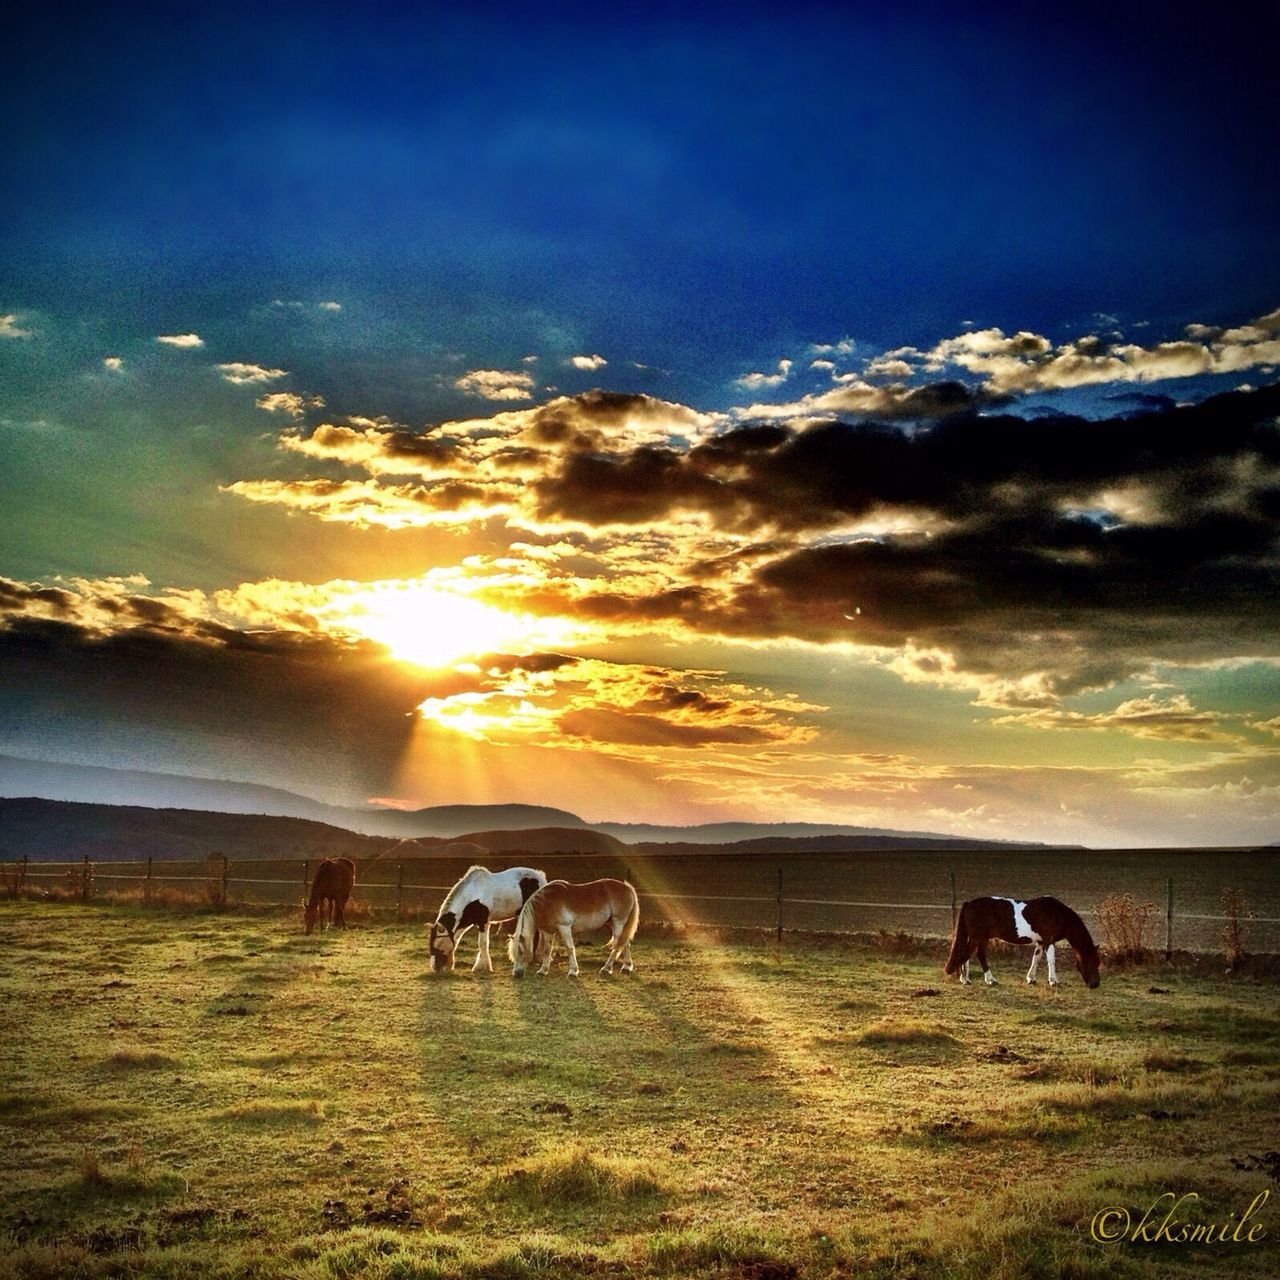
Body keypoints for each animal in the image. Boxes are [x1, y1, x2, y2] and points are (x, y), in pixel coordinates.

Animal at [509, 880, 640, 977]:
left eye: (520, 951)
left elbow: (569, 948)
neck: (547, 902)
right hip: (615, 923)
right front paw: (543, 970)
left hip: (618, 922)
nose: (516, 974)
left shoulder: (565, 928)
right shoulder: (548, 932)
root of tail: (627, 888)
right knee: (625, 943)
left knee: (617, 945)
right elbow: (547, 950)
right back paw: (627, 967)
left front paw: (573, 971)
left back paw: (606, 968)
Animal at [942, 901, 1100, 988]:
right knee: (969, 953)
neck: (1057, 913)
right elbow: (1051, 960)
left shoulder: (1041, 941)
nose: (1096, 984)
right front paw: (1053, 981)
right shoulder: (1049, 940)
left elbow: (1036, 958)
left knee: (974, 954)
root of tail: (969, 903)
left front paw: (1031, 978)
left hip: (981, 937)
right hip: (977, 937)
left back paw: (975, 979)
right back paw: (972, 980)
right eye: (1091, 962)